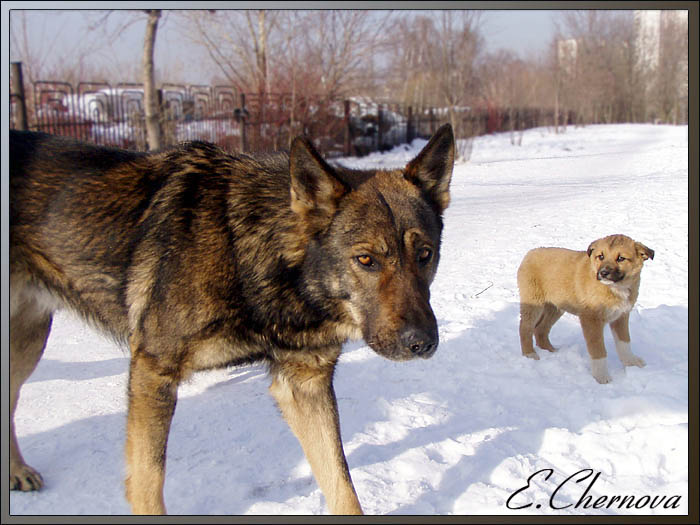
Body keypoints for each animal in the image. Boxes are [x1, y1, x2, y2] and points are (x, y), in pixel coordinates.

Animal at [9, 124, 454, 514]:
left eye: (426, 254)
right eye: (366, 259)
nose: (422, 343)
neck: (250, 254)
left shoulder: (305, 385)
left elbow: (342, 484)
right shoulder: (153, 372)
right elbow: (149, 481)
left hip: (29, 340)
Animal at [517, 234, 654, 384]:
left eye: (621, 258)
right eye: (601, 256)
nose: (603, 273)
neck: (615, 288)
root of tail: (530, 253)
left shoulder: (621, 316)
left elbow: (624, 342)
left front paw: (631, 362)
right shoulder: (591, 319)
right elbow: (598, 350)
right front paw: (601, 376)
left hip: (555, 307)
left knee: (541, 329)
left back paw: (551, 351)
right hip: (533, 302)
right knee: (525, 328)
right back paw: (529, 354)